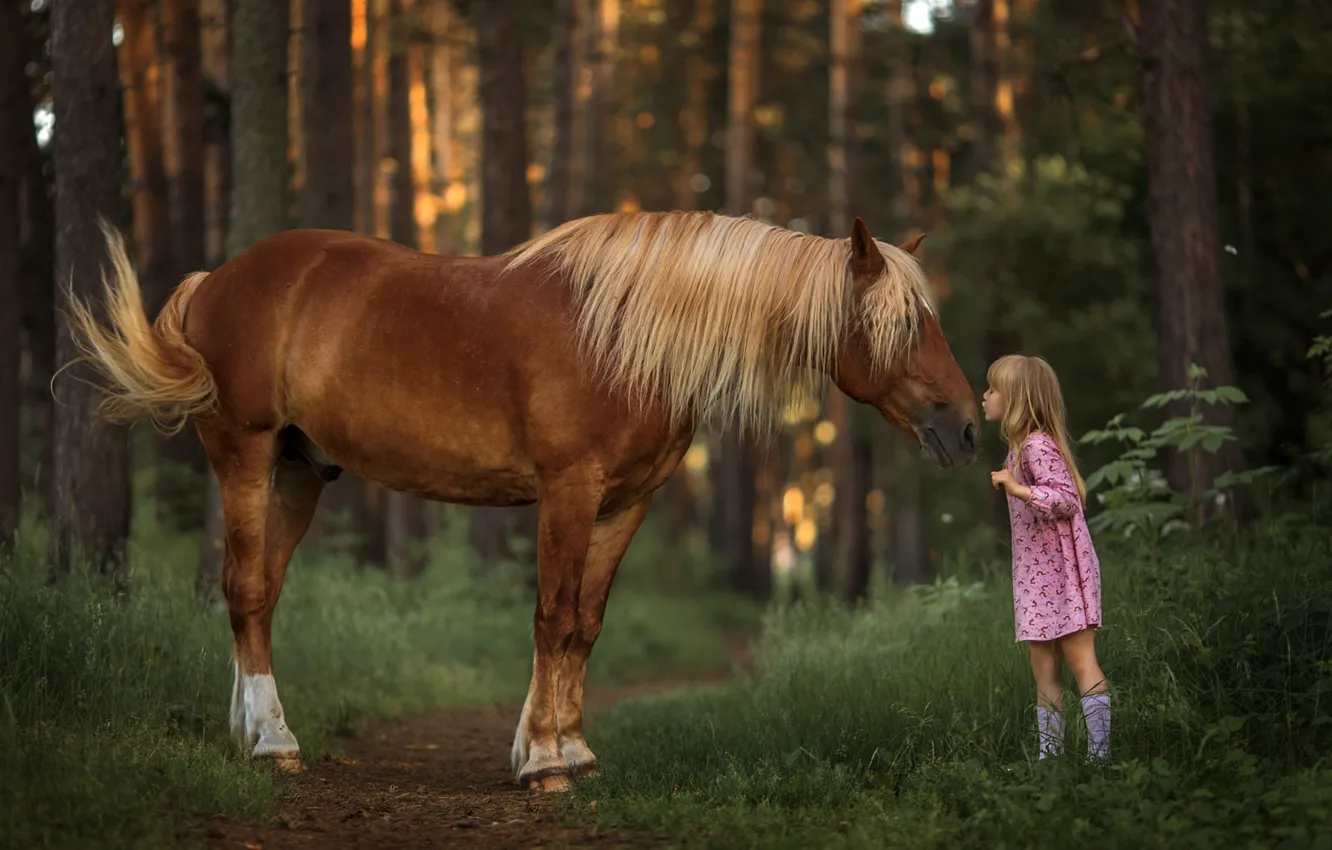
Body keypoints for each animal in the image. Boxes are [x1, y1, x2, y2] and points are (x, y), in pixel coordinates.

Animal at [67, 209, 979, 792]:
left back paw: (252, 732)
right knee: (248, 592)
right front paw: (541, 763)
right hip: (246, 454)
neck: (625, 333)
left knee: (257, 597)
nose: (967, 427)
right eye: (903, 325)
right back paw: (272, 744)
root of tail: (218, 279)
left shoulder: (626, 503)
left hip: (299, 470)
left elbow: (585, 625)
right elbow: (551, 616)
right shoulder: (568, 491)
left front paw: (572, 751)